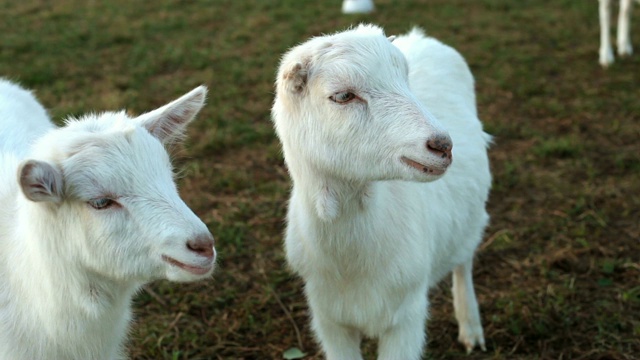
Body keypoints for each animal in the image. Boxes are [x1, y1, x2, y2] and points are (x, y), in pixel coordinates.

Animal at [272, 23, 490, 358]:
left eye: (405, 79)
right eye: (343, 95)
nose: (442, 145)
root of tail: (421, 37)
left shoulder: (406, 318)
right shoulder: (329, 319)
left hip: (472, 219)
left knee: (463, 262)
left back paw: (471, 329)